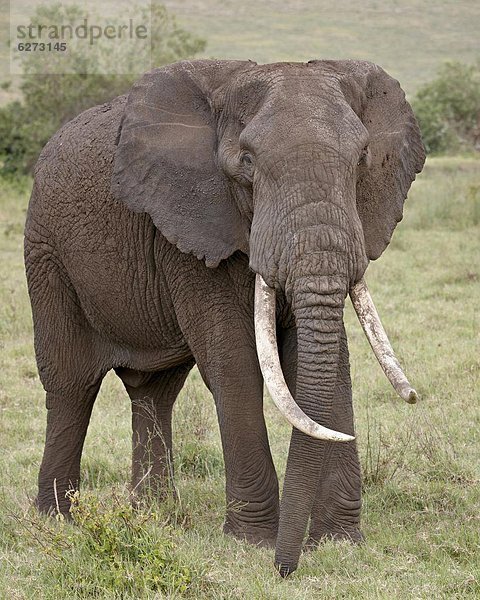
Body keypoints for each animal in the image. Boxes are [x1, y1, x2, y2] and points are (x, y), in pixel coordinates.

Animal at [24, 58, 426, 576]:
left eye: (361, 159)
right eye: (248, 163)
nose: (285, 569)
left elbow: (329, 365)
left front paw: (339, 543)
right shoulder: (189, 227)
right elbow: (235, 365)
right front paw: (253, 542)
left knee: (155, 389)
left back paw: (156, 516)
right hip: (46, 251)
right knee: (71, 384)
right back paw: (59, 519)